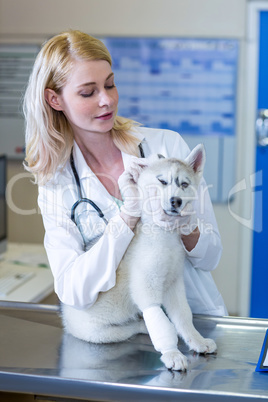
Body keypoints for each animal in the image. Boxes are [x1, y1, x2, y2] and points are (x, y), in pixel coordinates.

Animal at [61, 144, 217, 370]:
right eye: (162, 181)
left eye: (184, 184)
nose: (176, 201)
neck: (164, 235)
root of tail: (65, 313)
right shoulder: (146, 287)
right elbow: (158, 318)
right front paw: (171, 353)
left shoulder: (174, 285)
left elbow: (184, 316)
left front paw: (197, 340)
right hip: (102, 333)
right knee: (130, 328)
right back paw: (142, 325)